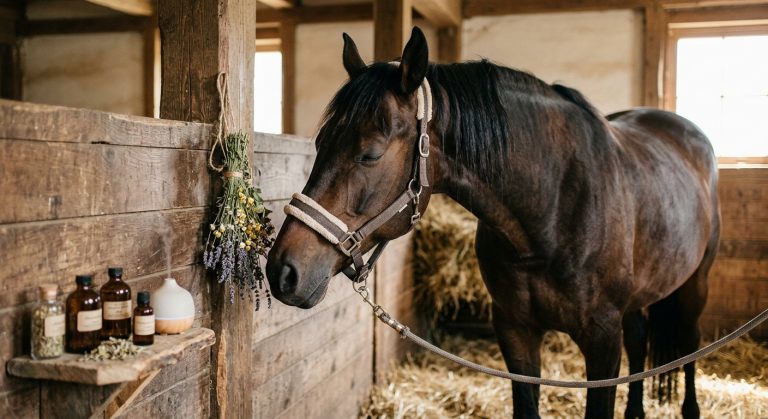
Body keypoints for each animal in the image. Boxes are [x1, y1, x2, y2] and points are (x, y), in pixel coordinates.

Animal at [266, 27, 720, 419]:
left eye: (370, 154)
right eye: (321, 143)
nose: (283, 271)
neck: (551, 212)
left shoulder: (602, 341)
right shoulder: (515, 331)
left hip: (695, 284)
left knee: (689, 342)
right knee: (641, 338)